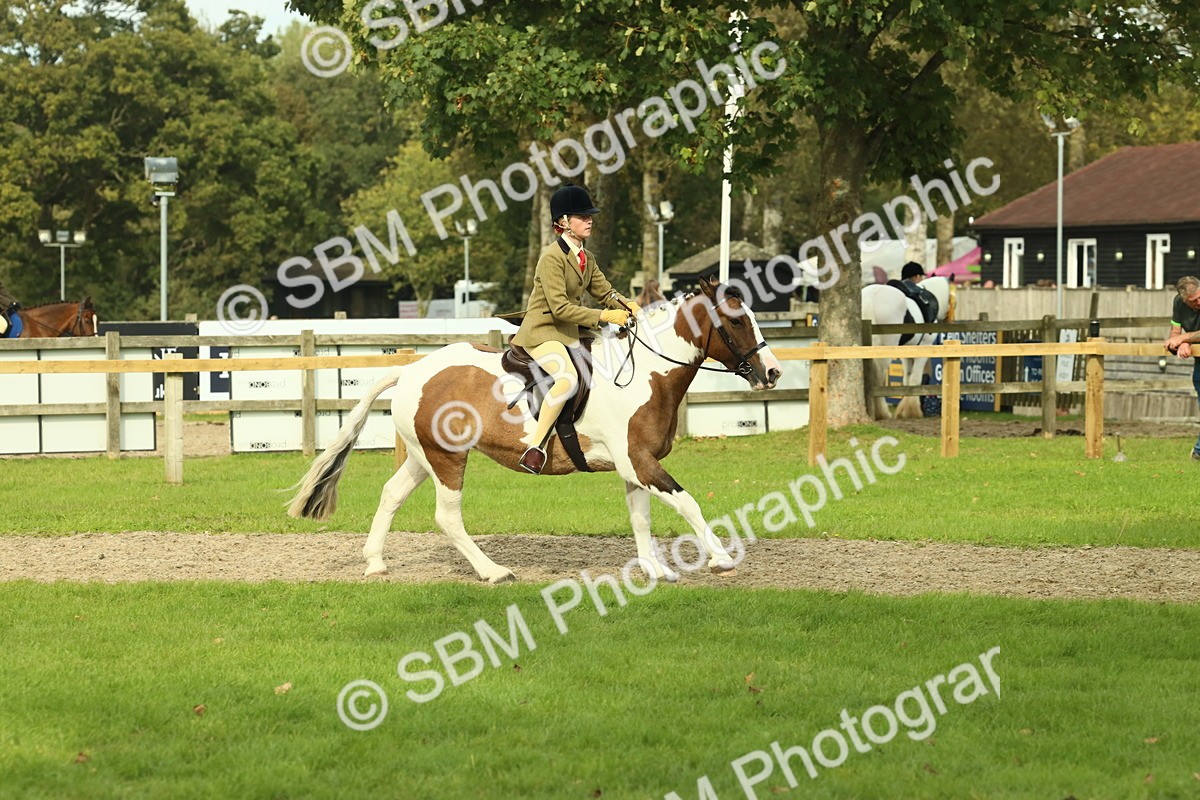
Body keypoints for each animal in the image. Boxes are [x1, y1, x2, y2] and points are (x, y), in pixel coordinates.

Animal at [287, 276, 784, 584]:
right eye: (737, 320)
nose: (773, 372)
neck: (646, 373)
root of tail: (411, 370)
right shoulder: (639, 462)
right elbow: (689, 504)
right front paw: (722, 558)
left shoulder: (635, 466)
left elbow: (641, 518)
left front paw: (655, 571)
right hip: (447, 458)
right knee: (447, 516)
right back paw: (493, 572)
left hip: (422, 455)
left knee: (391, 494)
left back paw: (375, 564)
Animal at [861, 276, 952, 419]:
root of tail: (871, 297)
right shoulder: (923, 348)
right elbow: (915, 378)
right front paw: (911, 411)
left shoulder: (907, 351)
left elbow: (907, 378)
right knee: (878, 378)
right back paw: (882, 412)